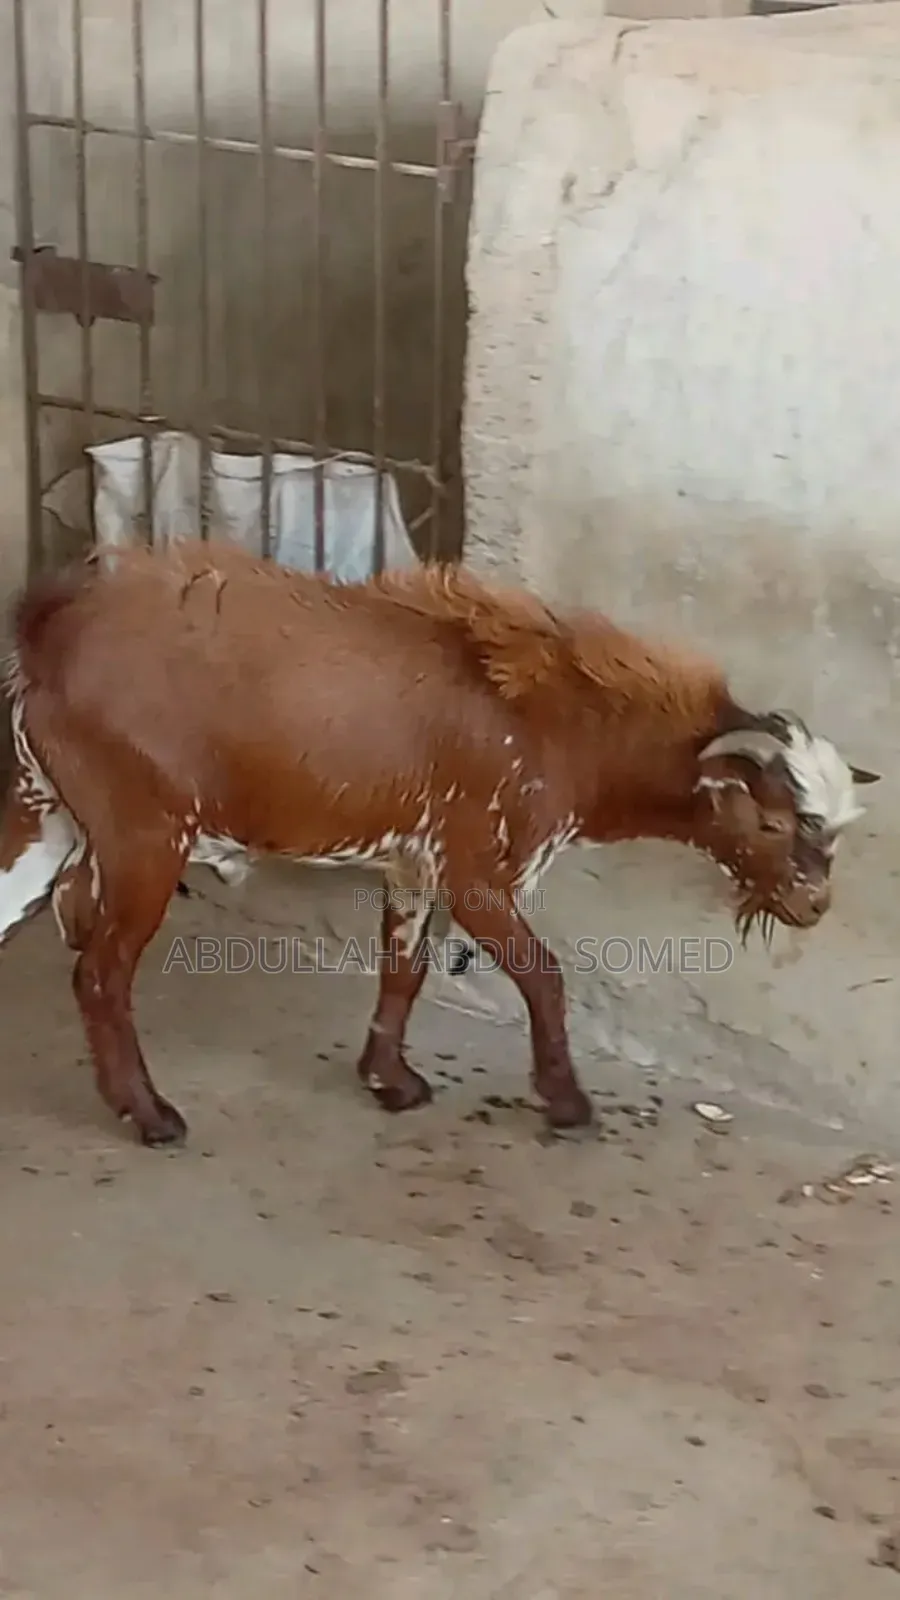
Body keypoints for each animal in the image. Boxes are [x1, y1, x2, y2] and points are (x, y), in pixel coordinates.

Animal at [0, 538, 879, 1146]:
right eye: (774, 821)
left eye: (833, 828)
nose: (814, 903)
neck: (563, 722)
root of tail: (52, 635)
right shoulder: (480, 869)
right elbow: (543, 976)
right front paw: (566, 1103)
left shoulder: (414, 861)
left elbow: (406, 969)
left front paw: (388, 1079)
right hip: (145, 834)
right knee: (101, 975)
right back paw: (148, 1114)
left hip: (51, 817)